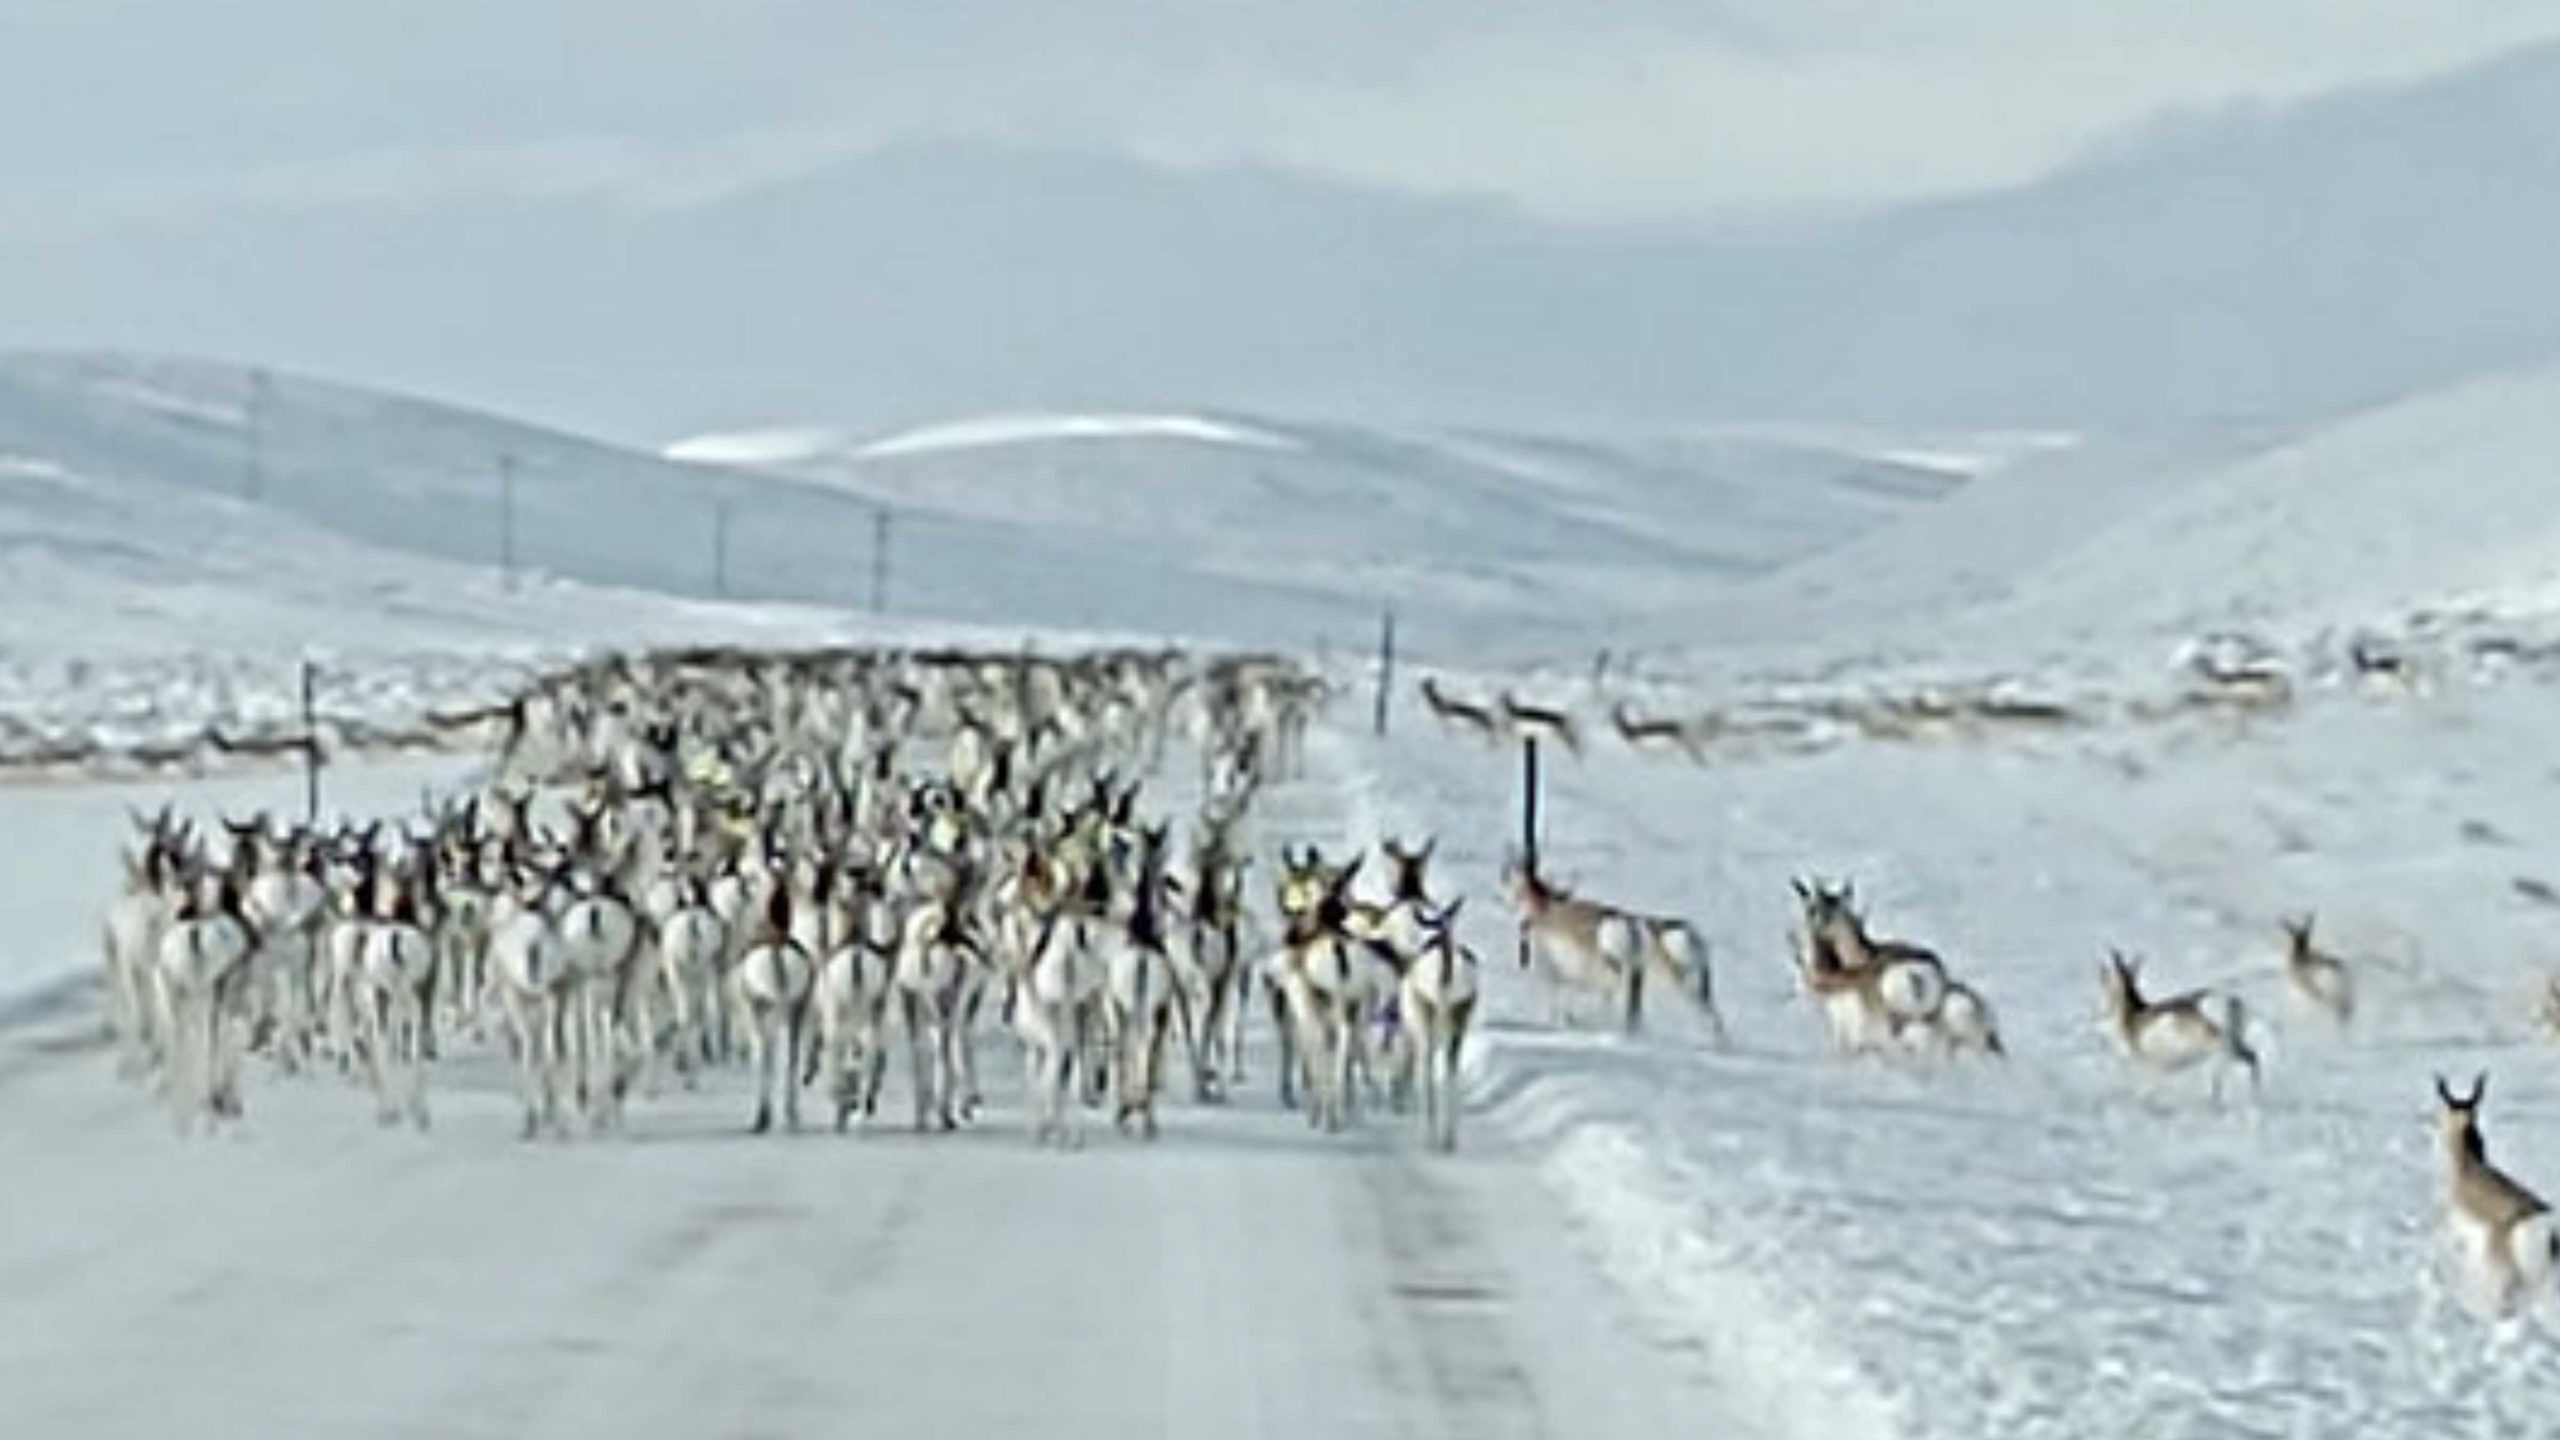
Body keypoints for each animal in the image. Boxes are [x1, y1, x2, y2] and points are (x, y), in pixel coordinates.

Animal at [2098, 950, 2258, 1099]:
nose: (2104, 1012)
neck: (2132, 1016)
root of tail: (2227, 999)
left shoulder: (2153, 1066)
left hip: (2219, 1048)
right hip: (2235, 1044)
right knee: (2252, 1057)